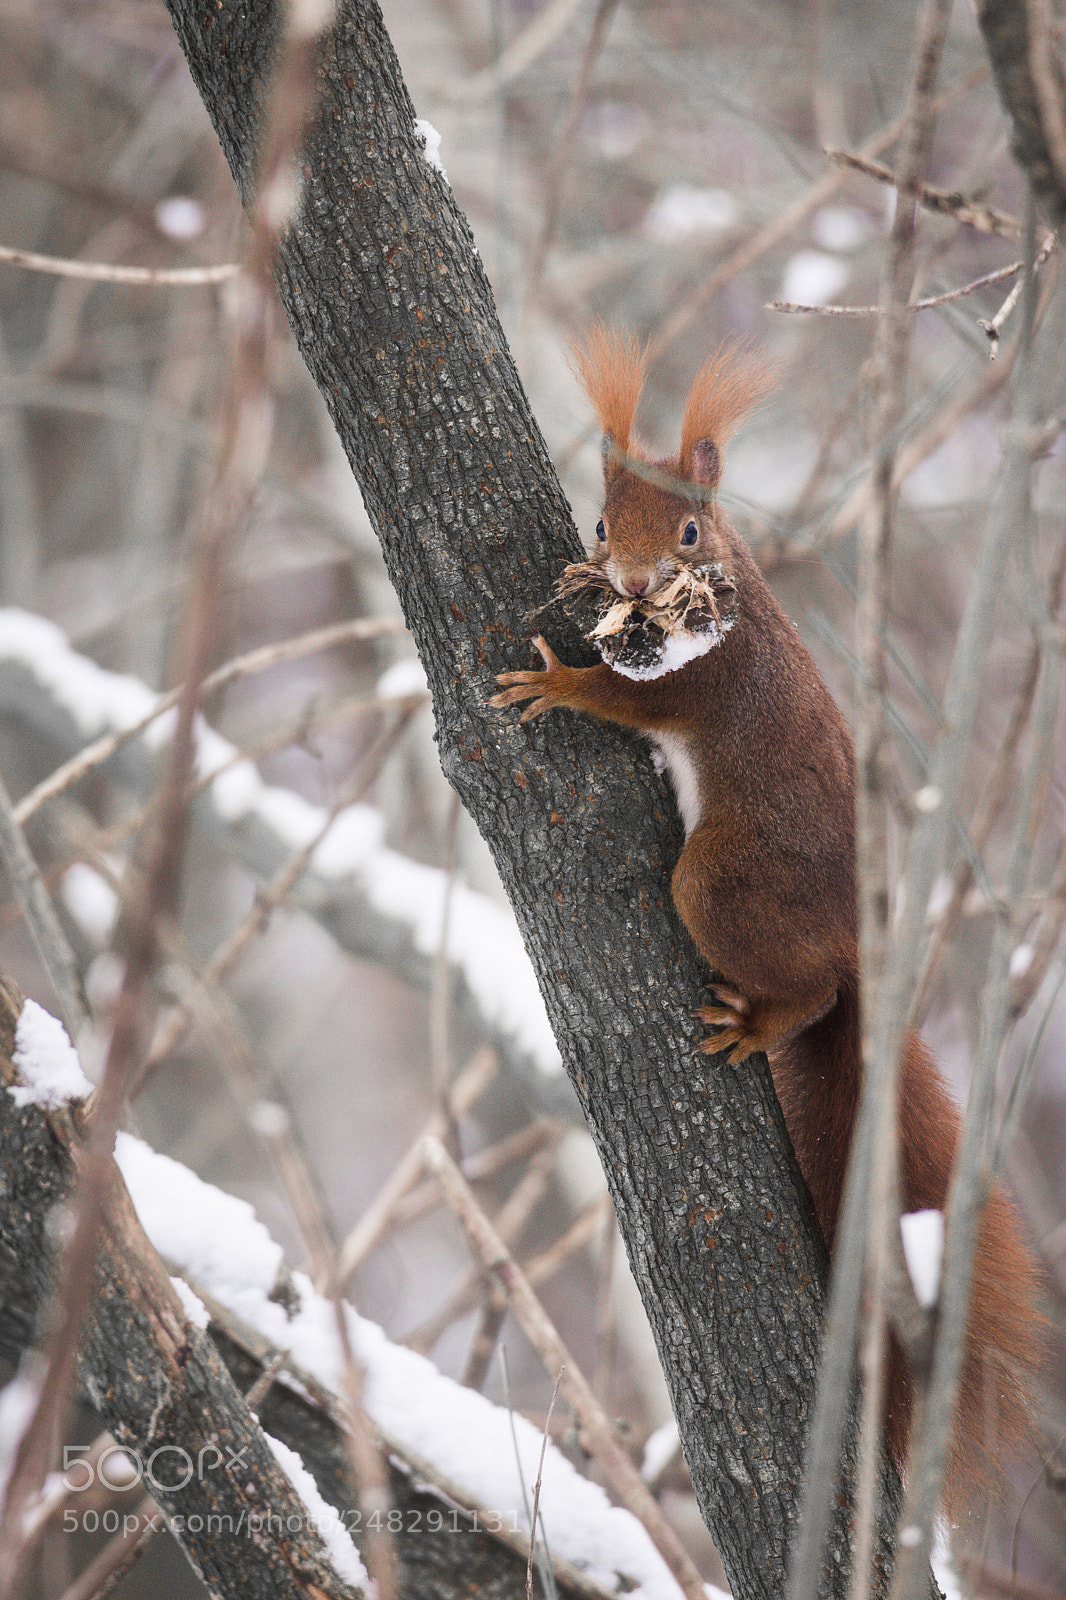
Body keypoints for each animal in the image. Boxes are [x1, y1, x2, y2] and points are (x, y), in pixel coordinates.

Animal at [492, 325, 1043, 1516]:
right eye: (600, 520)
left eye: (691, 530)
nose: (631, 578)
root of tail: (852, 941)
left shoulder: (700, 680)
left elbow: (627, 697)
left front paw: (554, 683)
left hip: (720, 888)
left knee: (812, 987)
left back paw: (760, 1019)